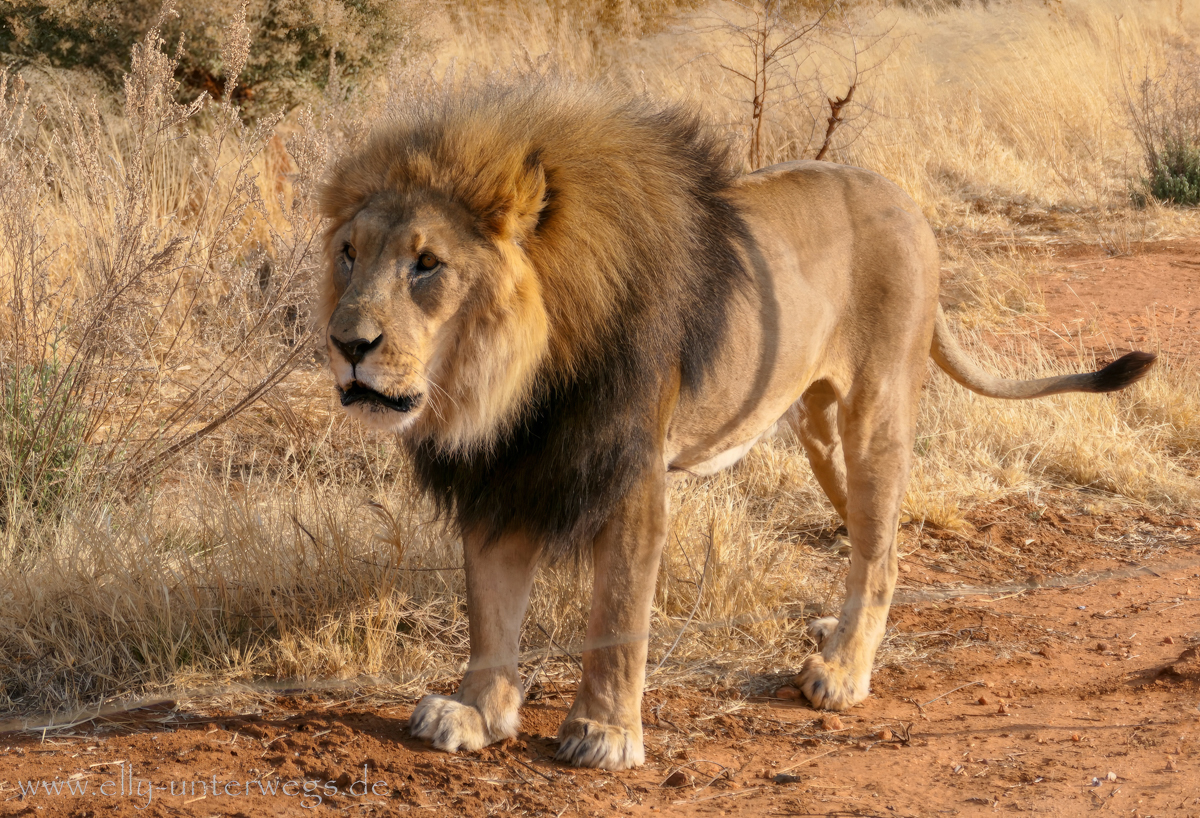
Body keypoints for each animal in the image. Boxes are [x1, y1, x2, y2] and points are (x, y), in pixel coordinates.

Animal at [316, 79, 1152, 767]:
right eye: (350, 255)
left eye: (428, 264)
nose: (346, 345)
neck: (512, 380)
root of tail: (906, 202)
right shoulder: (504, 473)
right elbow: (489, 609)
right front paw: (474, 713)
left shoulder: (631, 476)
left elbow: (617, 614)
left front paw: (605, 732)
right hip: (818, 431)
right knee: (879, 540)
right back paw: (836, 635)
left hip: (877, 410)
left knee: (880, 550)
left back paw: (842, 672)